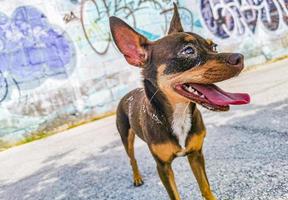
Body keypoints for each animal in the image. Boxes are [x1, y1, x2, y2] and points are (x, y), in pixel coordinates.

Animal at [109, 3, 250, 200]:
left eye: (214, 46)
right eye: (188, 51)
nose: (240, 57)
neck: (179, 114)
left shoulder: (196, 155)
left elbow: (205, 187)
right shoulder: (163, 167)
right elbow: (175, 195)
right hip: (125, 137)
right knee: (132, 159)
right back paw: (137, 177)